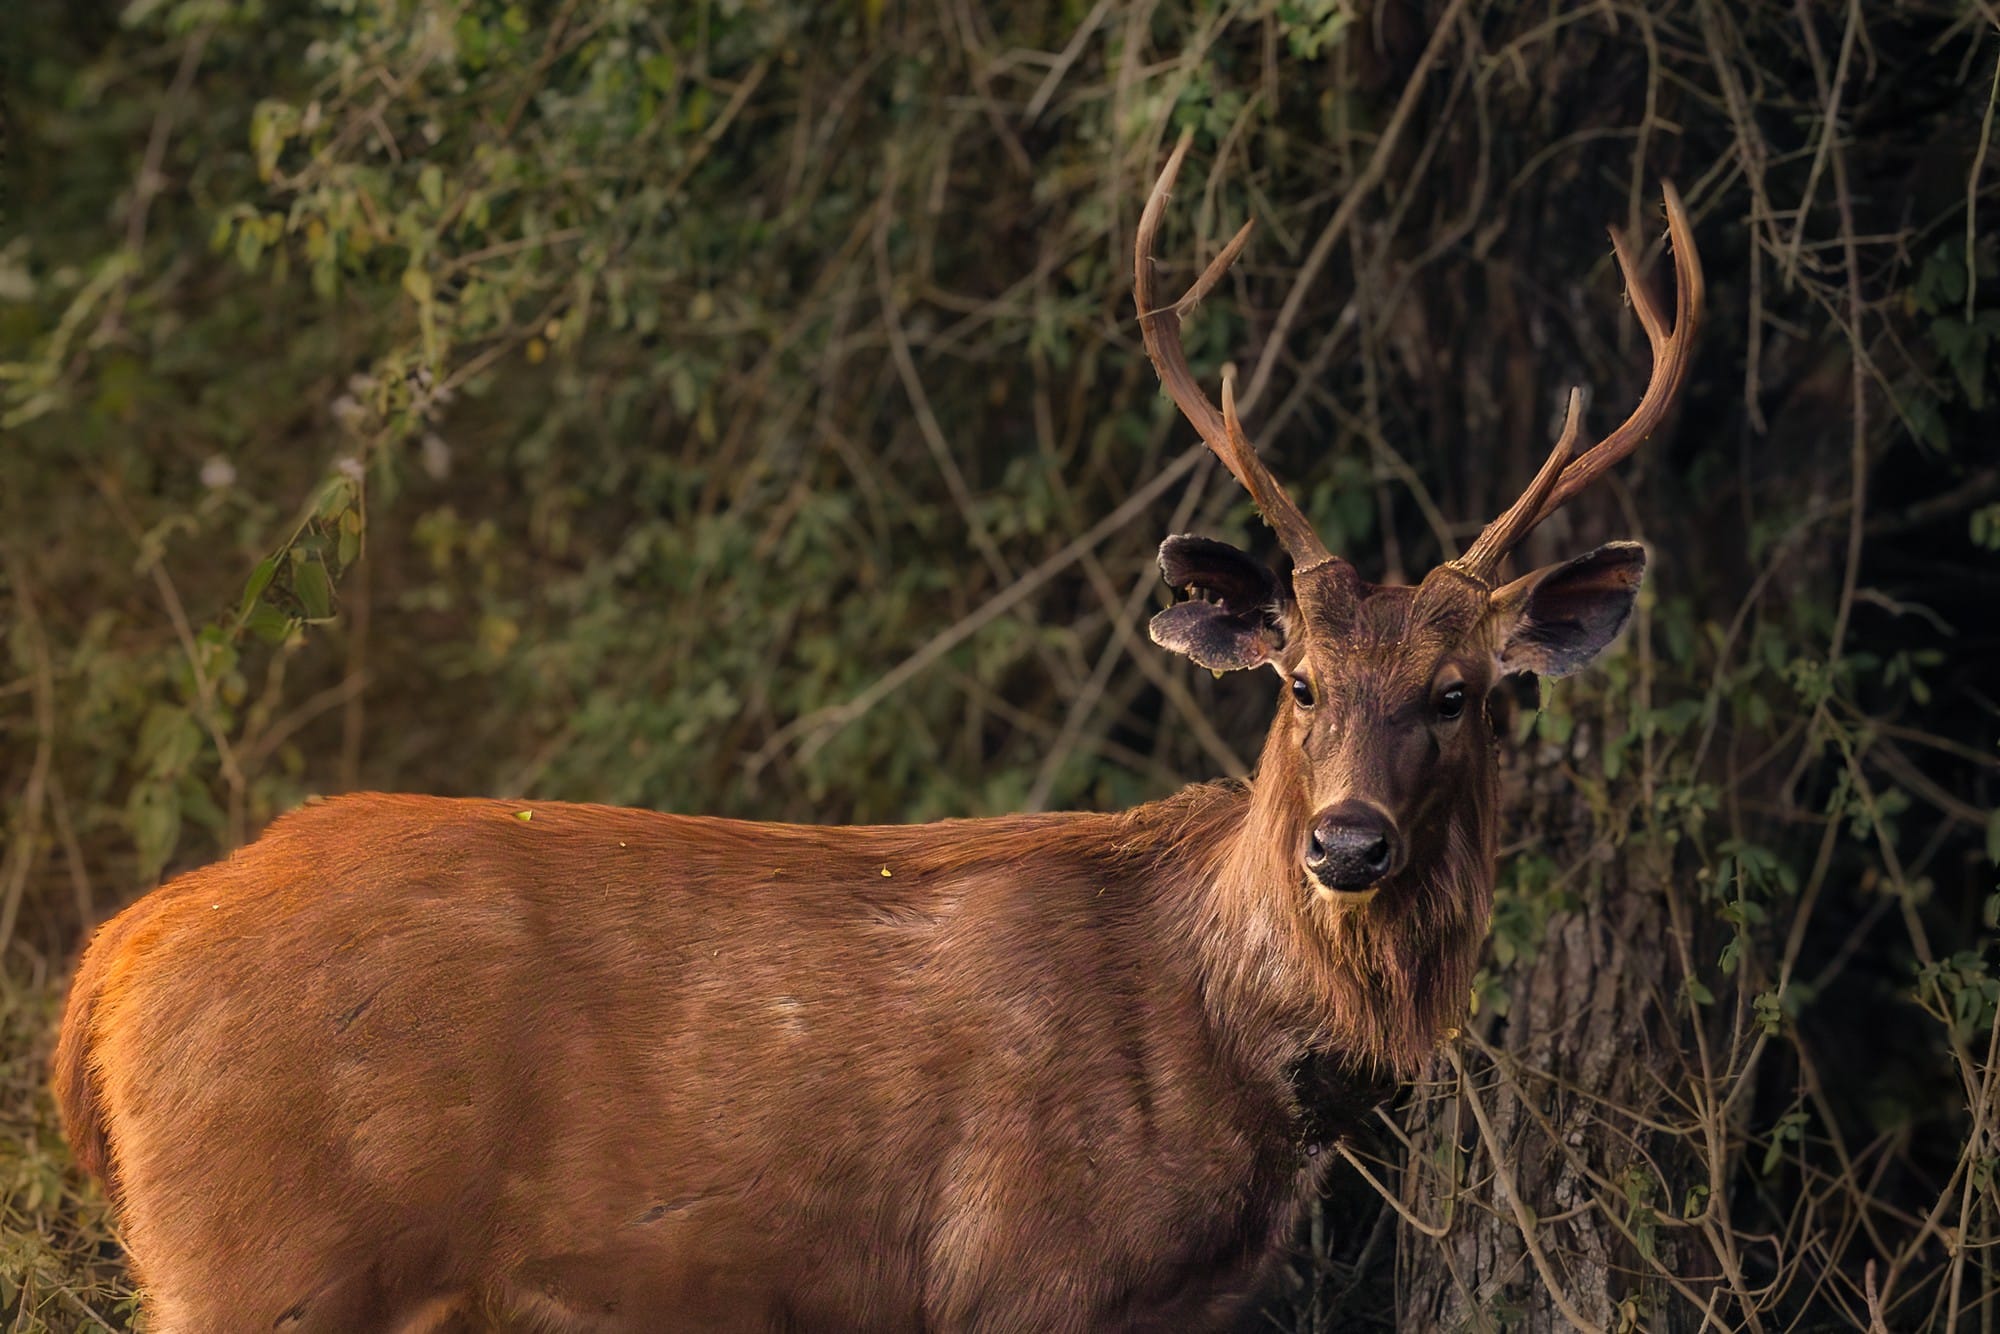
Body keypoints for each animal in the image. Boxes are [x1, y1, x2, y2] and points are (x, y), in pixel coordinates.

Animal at [53, 135, 1701, 1334]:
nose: (1349, 842)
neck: (1221, 1026)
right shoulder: (1027, 1273)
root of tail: (108, 969)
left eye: (1462, 691)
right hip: (263, 1260)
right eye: (1295, 680)